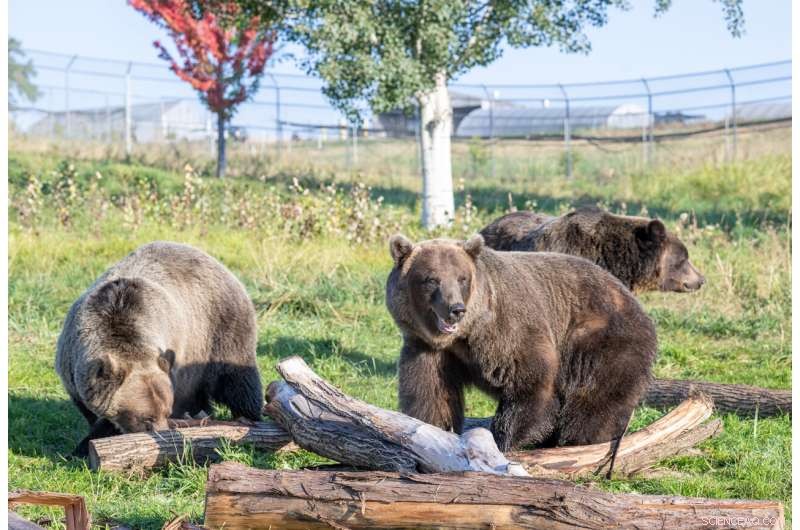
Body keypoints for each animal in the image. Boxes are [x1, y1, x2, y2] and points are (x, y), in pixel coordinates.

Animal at [56, 241, 264, 456]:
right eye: (147, 418)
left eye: (166, 412)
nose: (163, 434)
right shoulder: (73, 370)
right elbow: (91, 411)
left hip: (218, 330)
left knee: (237, 379)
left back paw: (249, 418)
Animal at [385, 233, 657, 452]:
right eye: (431, 279)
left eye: (462, 278)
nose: (456, 309)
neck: (465, 334)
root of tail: (635, 302)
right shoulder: (428, 348)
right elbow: (432, 394)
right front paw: (436, 430)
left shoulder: (507, 330)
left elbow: (530, 382)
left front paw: (503, 440)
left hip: (600, 337)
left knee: (593, 396)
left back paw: (578, 439)